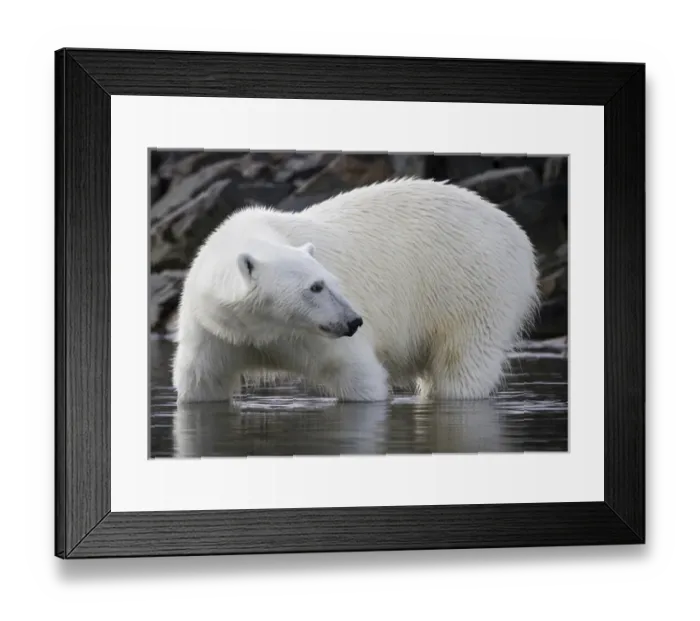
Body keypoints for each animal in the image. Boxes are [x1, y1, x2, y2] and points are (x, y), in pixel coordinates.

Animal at [171, 177, 540, 403]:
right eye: (315, 286)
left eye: (331, 282)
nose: (353, 321)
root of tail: (518, 234)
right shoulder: (214, 330)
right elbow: (200, 382)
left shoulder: (311, 335)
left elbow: (358, 374)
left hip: (473, 286)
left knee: (461, 364)